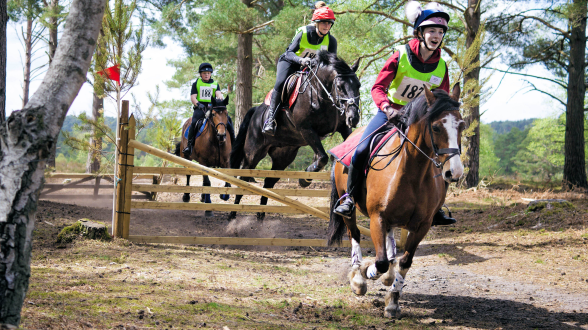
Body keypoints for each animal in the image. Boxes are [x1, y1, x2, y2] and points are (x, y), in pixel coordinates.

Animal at [230, 51, 362, 220]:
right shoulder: (306, 129)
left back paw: (260, 216)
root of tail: (255, 111)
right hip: (253, 153)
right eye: (339, 87)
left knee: (268, 183)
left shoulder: (343, 128)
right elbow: (322, 158)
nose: (354, 118)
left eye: (358, 85)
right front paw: (305, 178)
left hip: (283, 157)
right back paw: (232, 215)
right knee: (244, 178)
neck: (320, 94)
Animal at [328, 85, 462, 318]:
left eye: (461, 125)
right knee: (354, 234)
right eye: (436, 127)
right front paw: (367, 272)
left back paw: (388, 276)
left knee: (390, 243)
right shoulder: (377, 218)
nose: (454, 172)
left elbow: (405, 261)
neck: (413, 171)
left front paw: (393, 300)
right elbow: (379, 262)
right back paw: (358, 278)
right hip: (350, 208)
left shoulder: (422, 226)